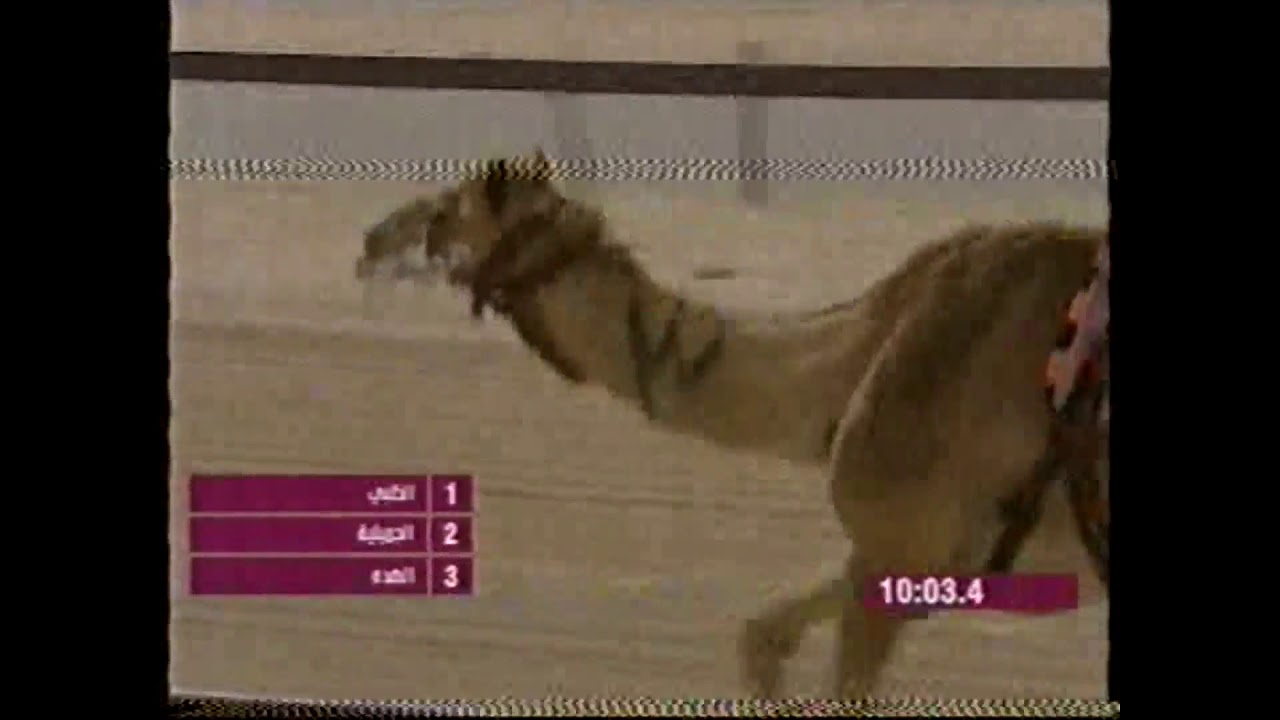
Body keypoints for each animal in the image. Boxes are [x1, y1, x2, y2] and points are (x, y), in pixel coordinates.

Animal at [353, 149, 1109, 699]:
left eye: (447, 209)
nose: (371, 240)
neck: (858, 359)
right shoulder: (913, 561)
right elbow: (759, 639)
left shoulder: (895, 553)